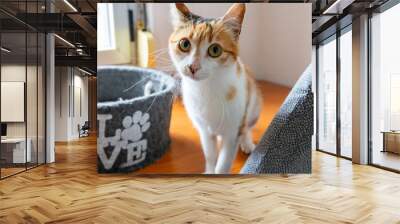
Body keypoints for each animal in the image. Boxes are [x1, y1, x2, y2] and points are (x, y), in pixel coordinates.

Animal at [168, 3, 262, 174]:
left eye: (215, 50)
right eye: (184, 44)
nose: (193, 67)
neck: (205, 88)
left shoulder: (232, 132)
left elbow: (224, 162)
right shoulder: (204, 131)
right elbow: (210, 155)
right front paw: (210, 171)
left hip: (254, 106)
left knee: (247, 128)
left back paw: (247, 143)